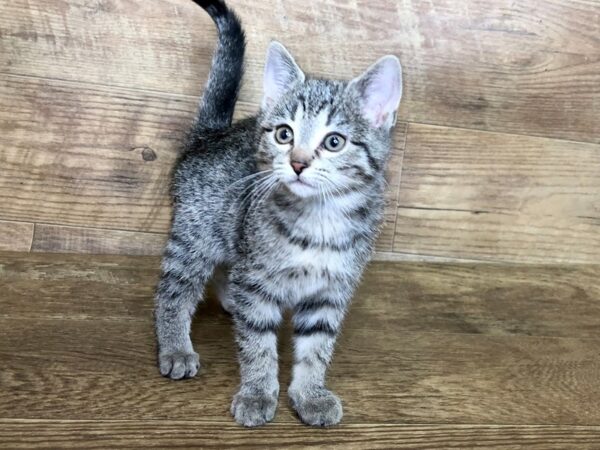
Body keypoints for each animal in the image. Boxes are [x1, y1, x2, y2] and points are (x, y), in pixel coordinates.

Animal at [155, 0, 404, 428]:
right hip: (196, 235)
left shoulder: (329, 292)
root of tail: (210, 135)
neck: (320, 219)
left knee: (227, 267)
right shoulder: (256, 282)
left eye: (334, 142)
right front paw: (257, 392)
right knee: (173, 289)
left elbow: (316, 348)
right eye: (284, 134)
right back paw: (174, 345)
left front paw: (310, 393)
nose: (298, 163)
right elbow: (257, 344)